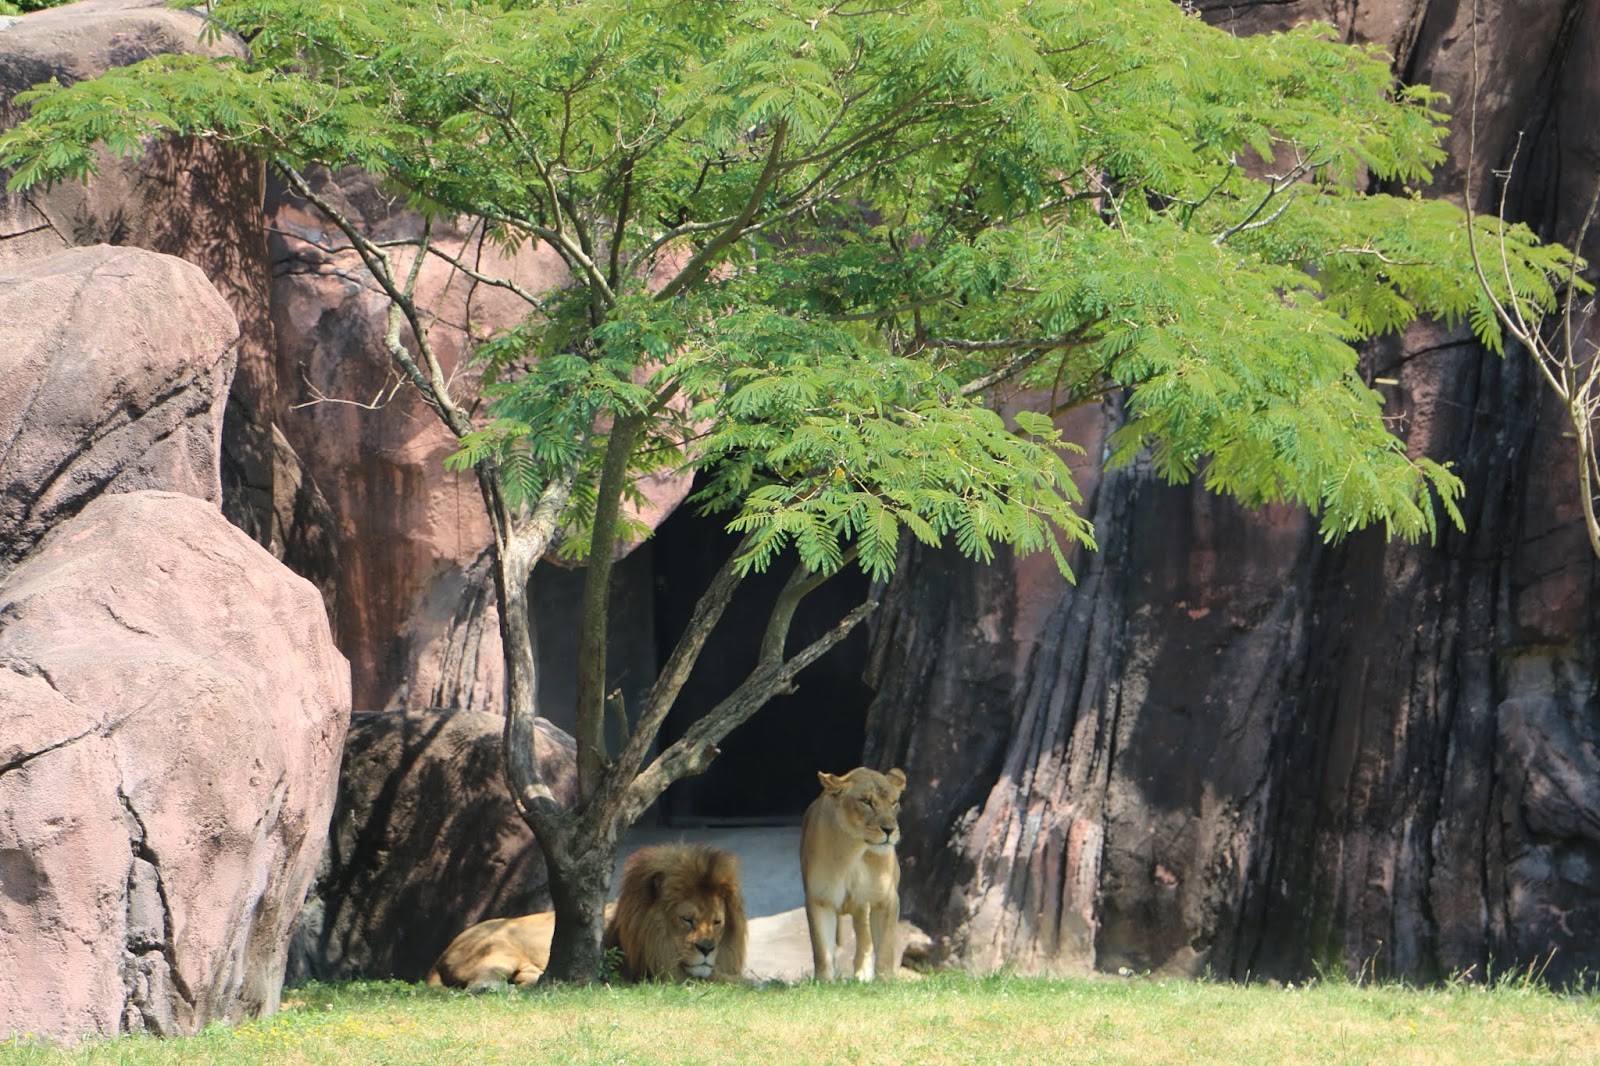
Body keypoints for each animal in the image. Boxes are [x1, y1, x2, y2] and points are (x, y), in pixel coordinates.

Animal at [796, 765, 908, 979]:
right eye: (866, 802)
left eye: (894, 803)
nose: (890, 830)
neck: (855, 852)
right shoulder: (820, 899)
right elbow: (822, 949)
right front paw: (824, 982)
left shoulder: (886, 899)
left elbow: (886, 947)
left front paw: (885, 981)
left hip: (862, 906)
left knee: (865, 939)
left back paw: (862, 974)